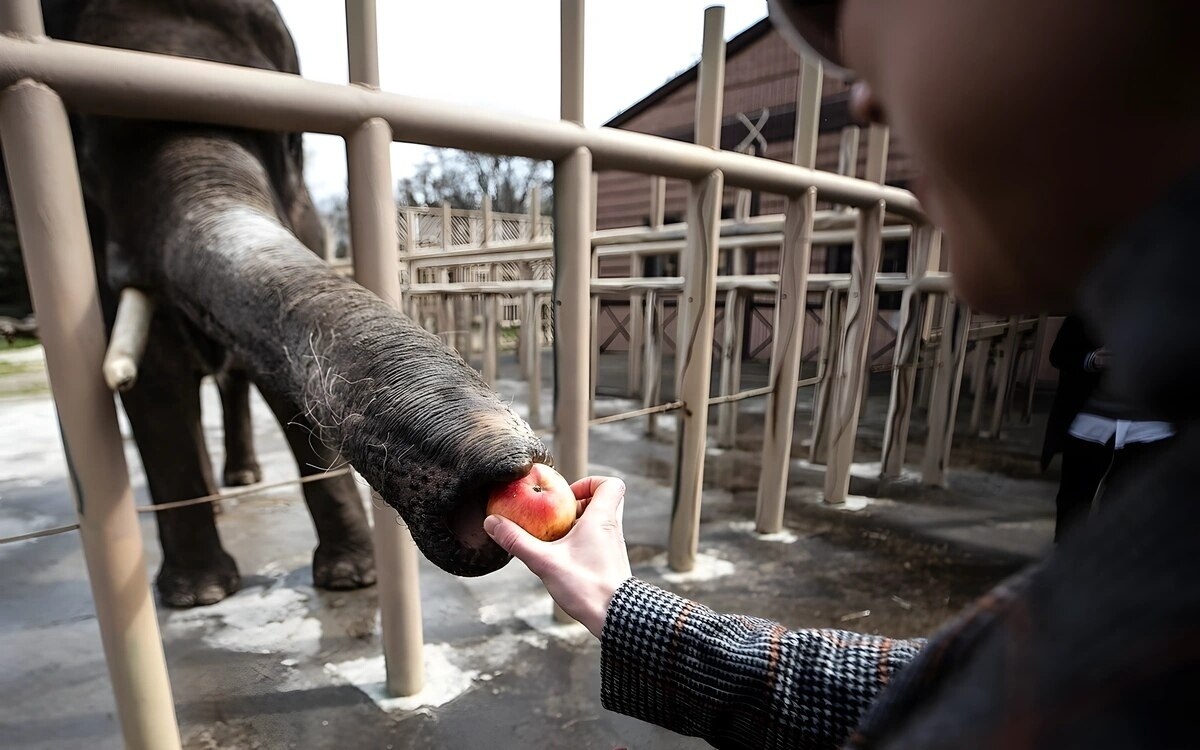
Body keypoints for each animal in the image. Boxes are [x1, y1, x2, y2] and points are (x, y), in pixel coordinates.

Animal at [31, 0, 549, 604]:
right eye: (87, 166)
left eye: (288, 145)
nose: (509, 463)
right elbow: (154, 378)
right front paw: (199, 597)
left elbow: (285, 377)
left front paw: (351, 580)